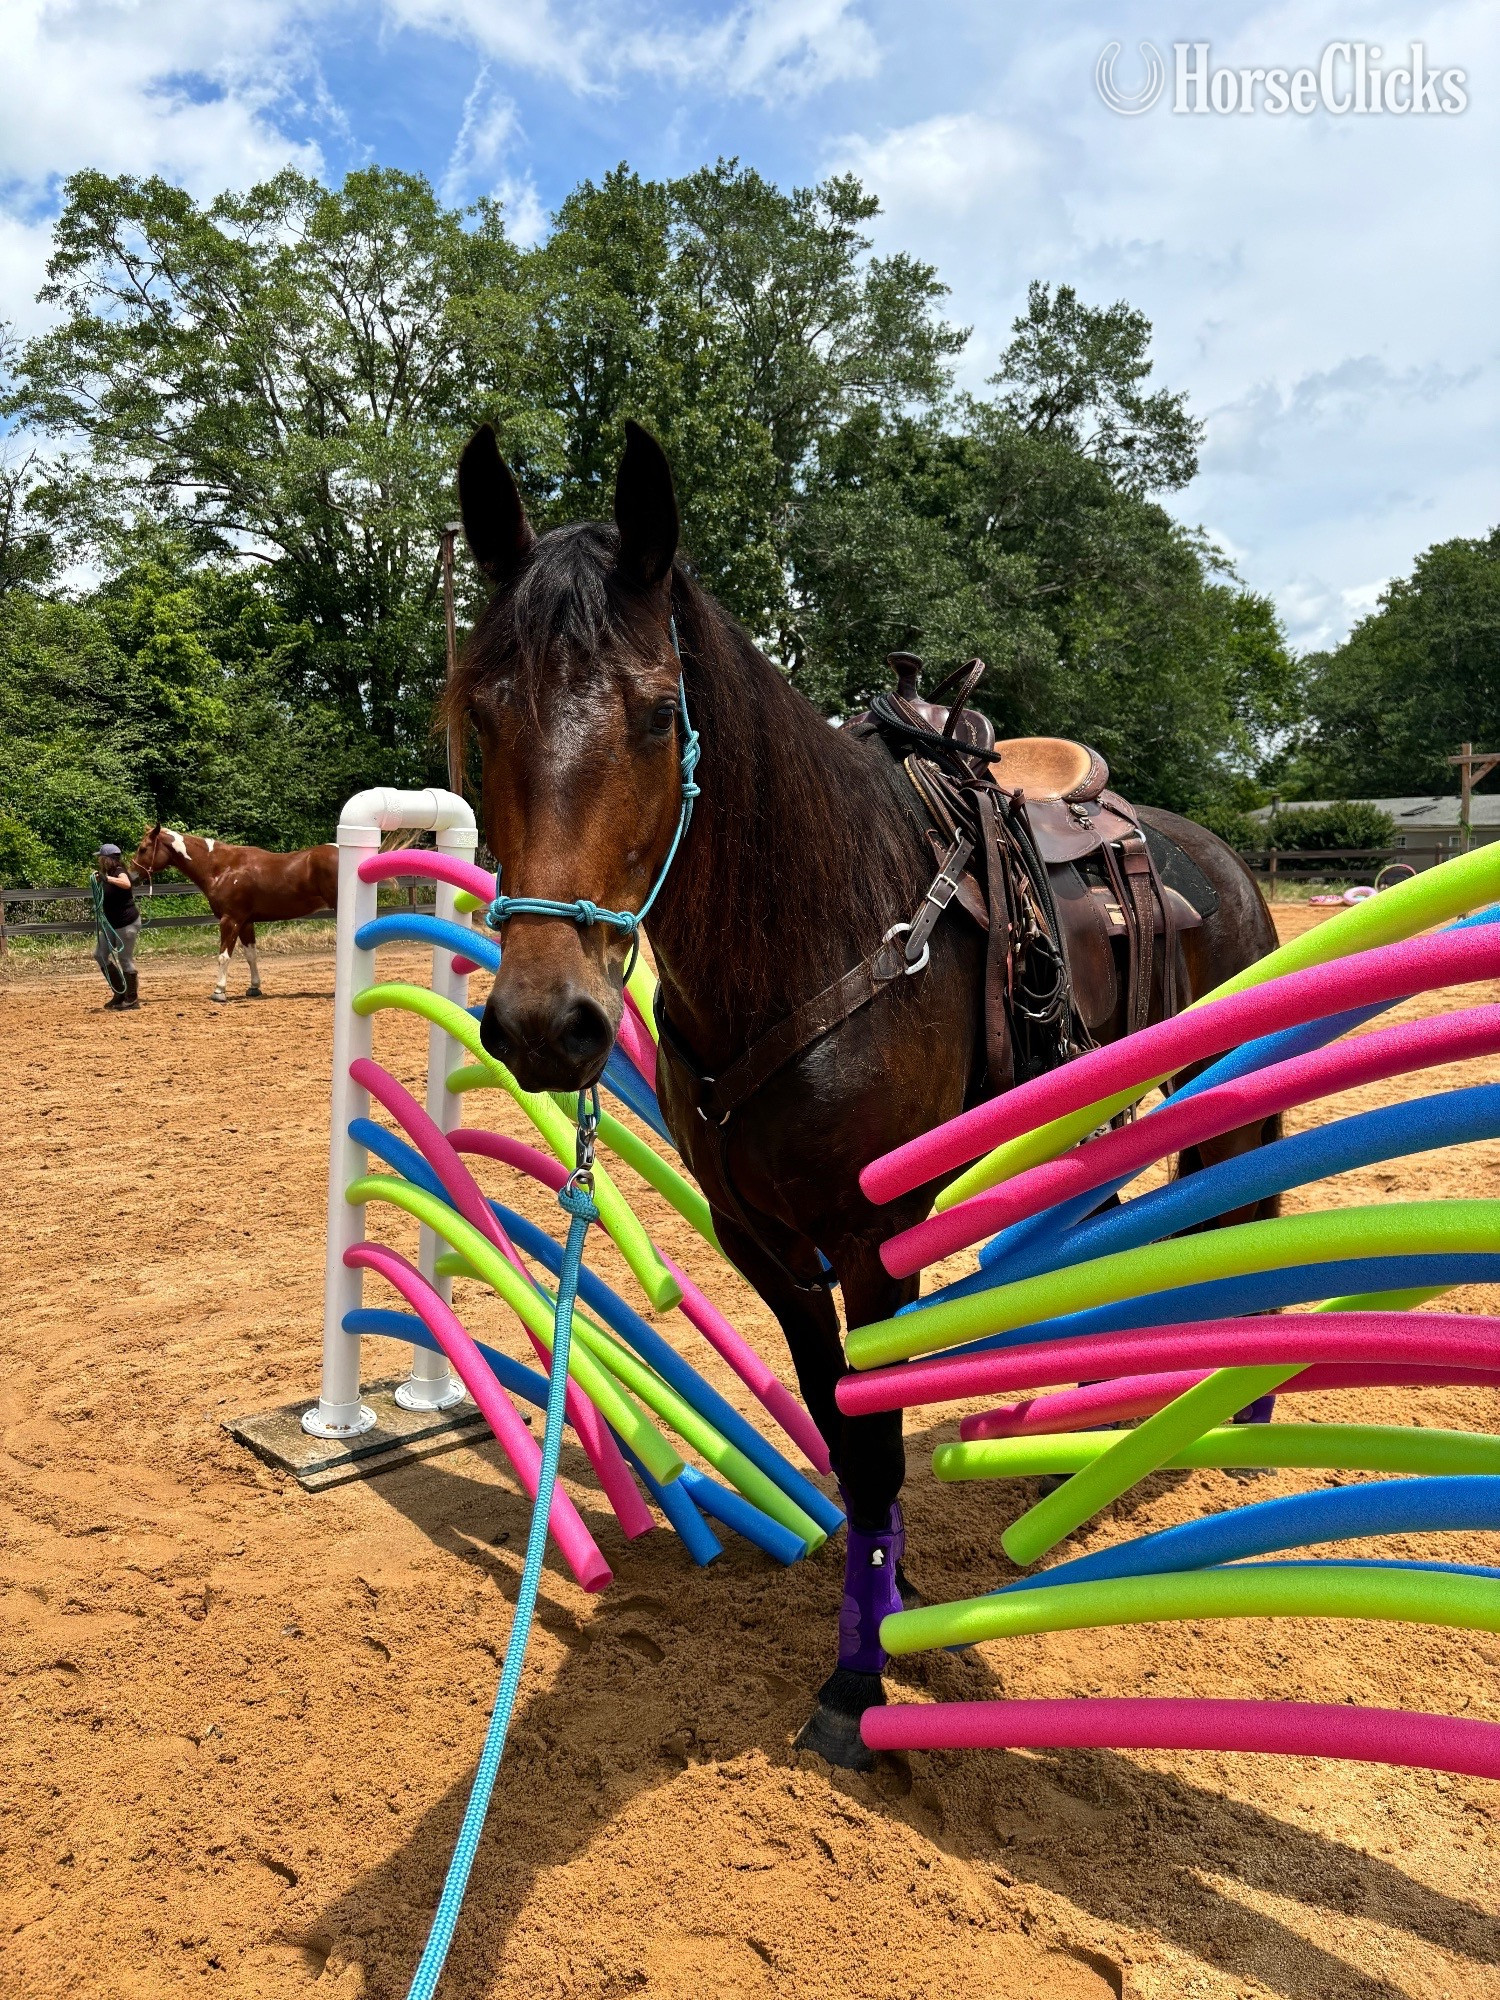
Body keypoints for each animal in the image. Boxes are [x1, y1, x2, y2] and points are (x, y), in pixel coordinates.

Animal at [131, 825, 337, 1002]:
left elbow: (224, 955)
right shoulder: (246, 922)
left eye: (143, 849)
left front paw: (219, 991)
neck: (223, 868)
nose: (132, 877)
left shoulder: (230, 920)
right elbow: (251, 955)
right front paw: (254, 987)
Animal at [444, 419, 1281, 1766]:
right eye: (483, 707)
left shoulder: (874, 1238)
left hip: (1229, 1101)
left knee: (1242, 1225)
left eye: (661, 712)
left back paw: (1236, 1415)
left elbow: (880, 1450)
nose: (542, 1021)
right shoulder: (770, 1249)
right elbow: (844, 1435)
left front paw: (858, 1680)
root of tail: (1227, 860)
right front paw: (880, 1594)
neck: (816, 936)